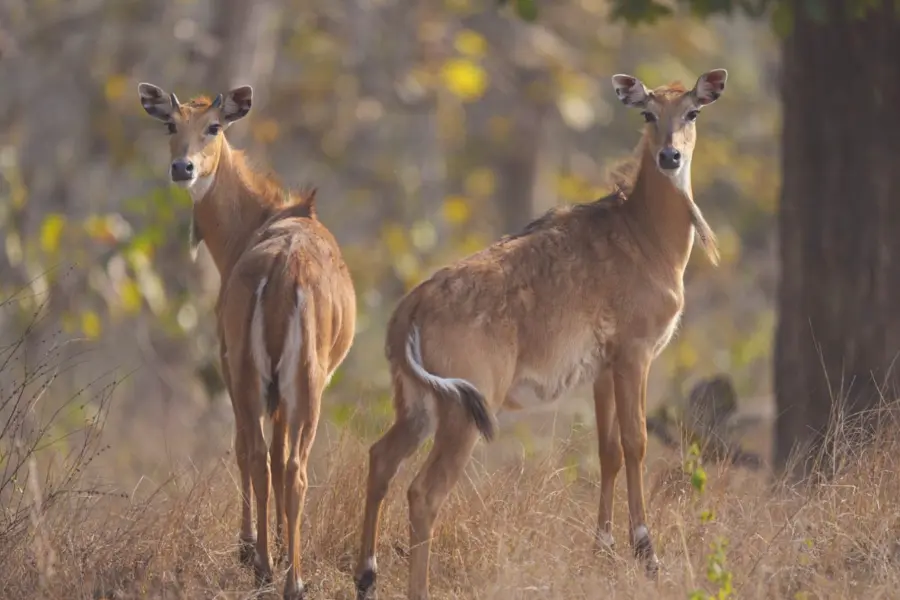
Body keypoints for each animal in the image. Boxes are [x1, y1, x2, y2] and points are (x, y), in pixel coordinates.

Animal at [137, 82, 356, 600]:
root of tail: (284, 268)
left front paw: (259, 545)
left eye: (214, 126)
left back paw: (272, 568)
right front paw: (261, 546)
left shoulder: (237, 365)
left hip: (255, 371)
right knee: (285, 463)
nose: (183, 168)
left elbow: (256, 450)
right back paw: (284, 575)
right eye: (169, 124)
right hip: (294, 377)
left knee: (264, 456)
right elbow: (266, 452)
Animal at [352, 68, 728, 599]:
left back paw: (366, 577)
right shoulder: (635, 353)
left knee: (381, 458)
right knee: (424, 491)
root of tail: (411, 307)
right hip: (465, 407)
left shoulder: (601, 368)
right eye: (647, 114)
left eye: (692, 111)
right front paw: (646, 552)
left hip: (416, 401)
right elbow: (636, 443)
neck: (648, 235)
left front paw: (602, 549)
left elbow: (608, 450)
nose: (669, 156)